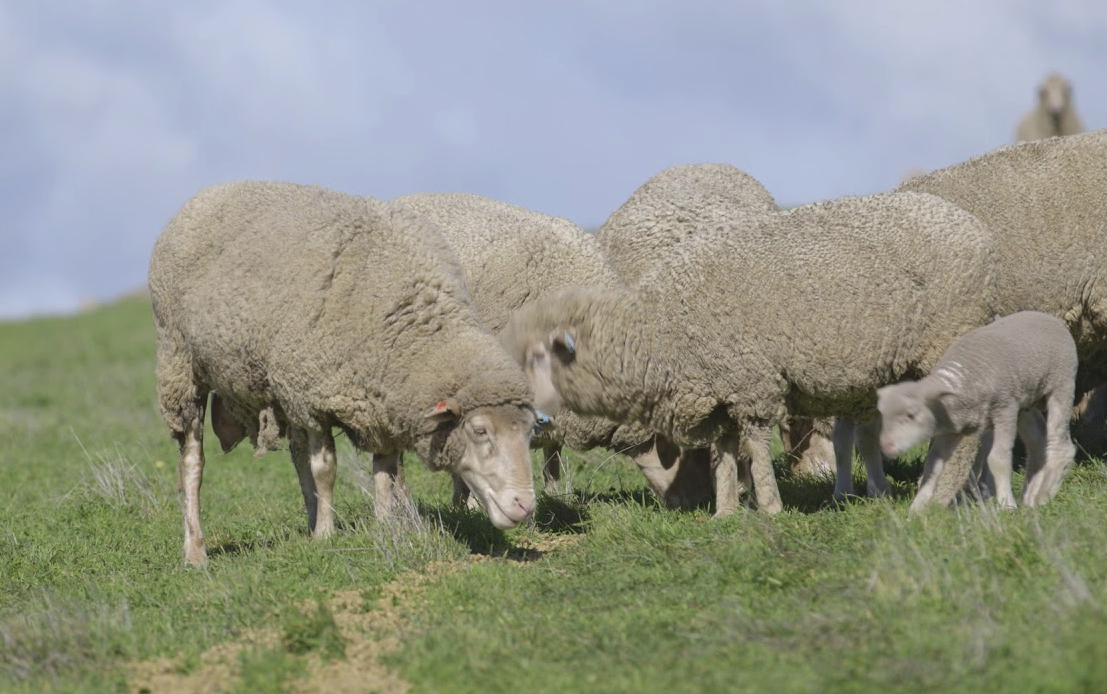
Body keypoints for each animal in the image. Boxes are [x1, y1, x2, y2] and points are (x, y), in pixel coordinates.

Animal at [150, 180, 540, 571]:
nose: (524, 506)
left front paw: (385, 528)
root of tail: (207, 194)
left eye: (528, 430)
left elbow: (383, 473)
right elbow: (326, 468)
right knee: (192, 464)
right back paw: (196, 551)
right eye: (480, 431)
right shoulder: (312, 398)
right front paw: (327, 534)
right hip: (180, 363)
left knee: (296, 455)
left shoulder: (378, 406)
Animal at [502, 190, 996, 515]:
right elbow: (724, 453)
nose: (531, 416)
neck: (658, 333)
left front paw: (770, 507)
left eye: (535, 360)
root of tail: (977, 231)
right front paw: (725, 512)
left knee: (965, 431)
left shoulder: (751, 381)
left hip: (949, 338)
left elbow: (754, 447)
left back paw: (941, 498)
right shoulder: (721, 391)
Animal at [876, 312, 1076, 513]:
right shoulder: (952, 429)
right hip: (1027, 401)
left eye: (911, 415)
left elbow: (998, 459)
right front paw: (916, 508)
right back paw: (1030, 498)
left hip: (1061, 385)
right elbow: (932, 464)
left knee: (1061, 444)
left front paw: (1007, 505)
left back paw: (1044, 495)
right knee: (1038, 440)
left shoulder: (1005, 409)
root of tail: (1041, 314)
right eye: (883, 415)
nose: (886, 446)